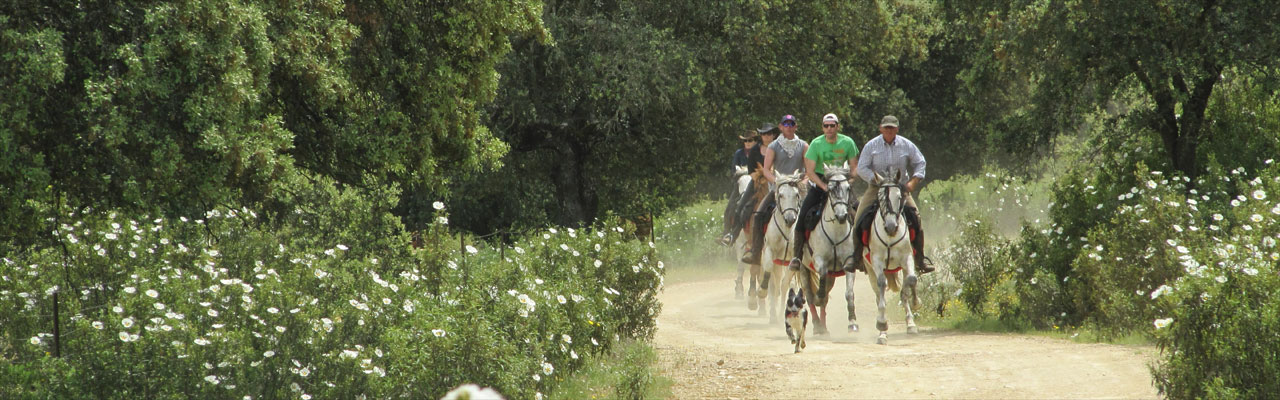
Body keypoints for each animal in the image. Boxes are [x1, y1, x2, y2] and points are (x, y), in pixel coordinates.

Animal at [757, 170, 808, 323]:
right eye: (781, 195)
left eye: (796, 194)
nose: (790, 219)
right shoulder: (769, 251)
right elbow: (769, 273)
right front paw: (762, 291)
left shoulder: (793, 260)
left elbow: (785, 284)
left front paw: (782, 313)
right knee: (773, 283)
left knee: (781, 283)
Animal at [793, 164, 855, 335]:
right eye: (831, 189)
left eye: (848, 188)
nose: (842, 216)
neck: (835, 231)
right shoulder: (820, 260)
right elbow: (821, 277)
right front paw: (818, 296)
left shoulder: (849, 263)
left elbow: (849, 293)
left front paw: (852, 323)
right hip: (803, 268)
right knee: (809, 295)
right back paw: (817, 325)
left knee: (825, 297)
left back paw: (824, 326)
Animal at [860, 169, 921, 343]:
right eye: (880, 197)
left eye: (899, 196)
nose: (891, 226)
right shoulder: (877, 261)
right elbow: (882, 287)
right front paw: (882, 325)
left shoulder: (907, 257)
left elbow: (911, 282)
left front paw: (916, 303)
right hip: (870, 271)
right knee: (878, 295)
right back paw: (882, 331)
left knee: (906, 286)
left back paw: (910, 324)